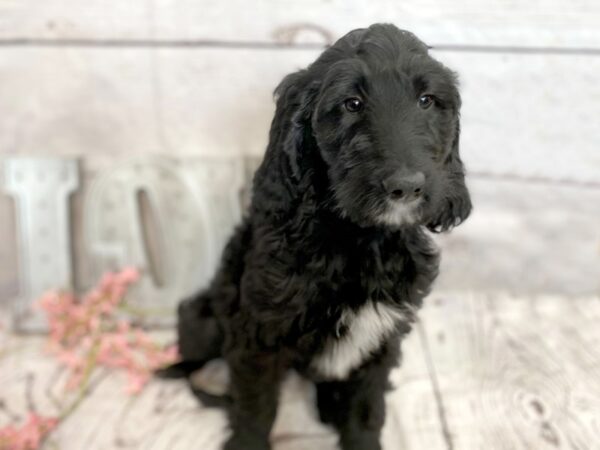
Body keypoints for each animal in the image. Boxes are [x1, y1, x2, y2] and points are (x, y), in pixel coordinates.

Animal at [163, 23, 468, 450]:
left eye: (427, 101)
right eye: (352, 104)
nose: (406, 187)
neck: (359, 240)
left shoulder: (382, 339)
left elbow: (365, 409)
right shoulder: (258, 334)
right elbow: (255, 408)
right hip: (203, 317)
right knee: (193, 362)